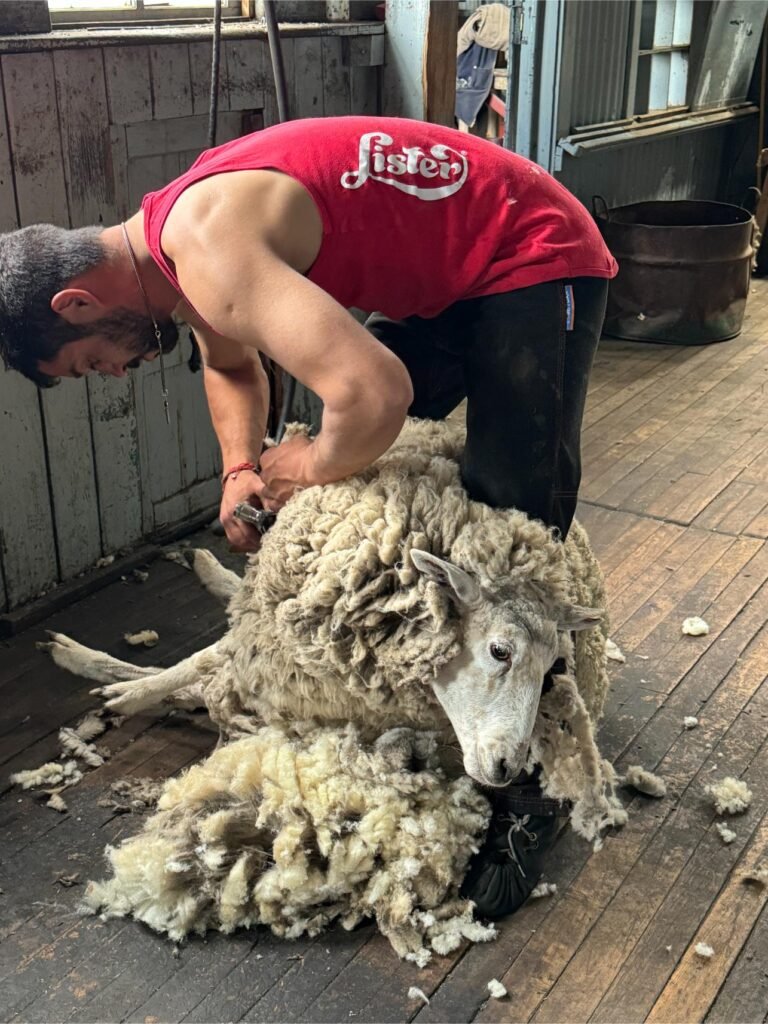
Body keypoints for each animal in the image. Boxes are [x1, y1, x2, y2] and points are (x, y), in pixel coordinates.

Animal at [41, 419, 626, 962]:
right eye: (500, 651)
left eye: (552, 669)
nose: (508, 767)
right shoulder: (268, 652)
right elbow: (200, 665)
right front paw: (113, 681)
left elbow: (208, 679)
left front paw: (123, 686)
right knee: (211, 653)